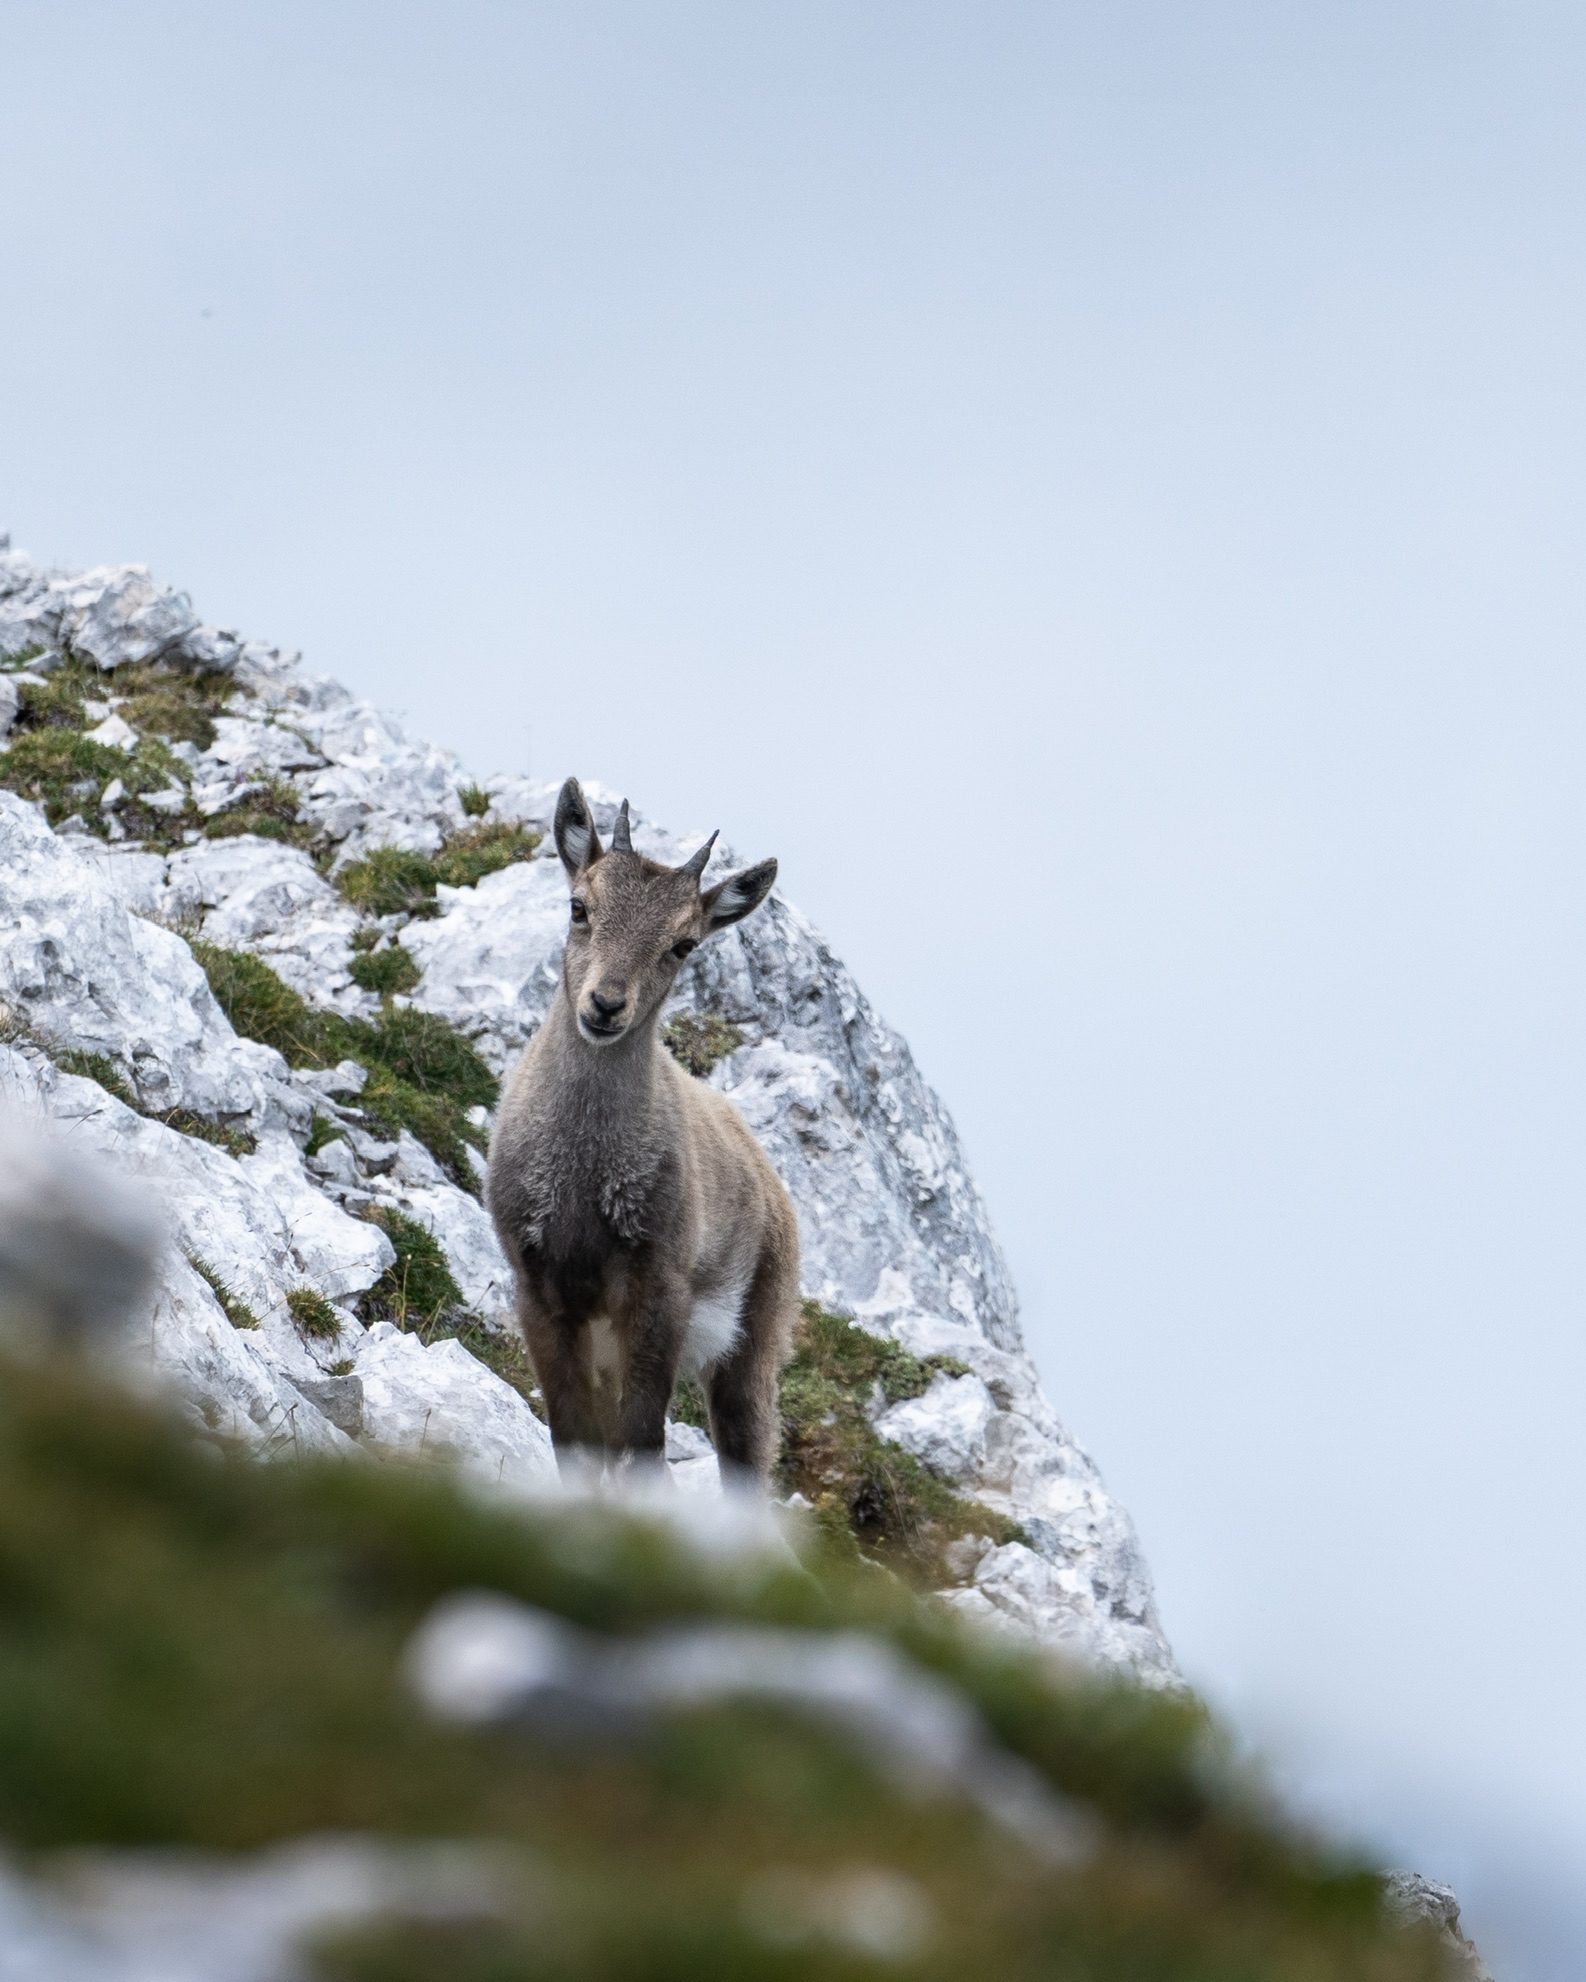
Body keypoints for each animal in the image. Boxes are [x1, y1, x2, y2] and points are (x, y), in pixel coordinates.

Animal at [483, 772, 800, 1490]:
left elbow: (642, 1448)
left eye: (683, 944)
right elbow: (577, 1446)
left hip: (752, 1341)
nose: (605, 1005)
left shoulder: (659, 1289)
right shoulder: (540, 1290)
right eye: (579, 906)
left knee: (746, 1462)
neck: (582, 1171)